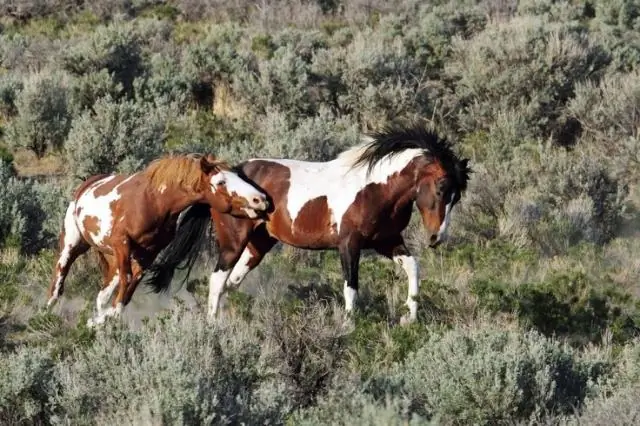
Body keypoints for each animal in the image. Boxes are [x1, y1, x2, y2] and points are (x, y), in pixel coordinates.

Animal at [45, 153, 270, 326]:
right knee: (58, 283)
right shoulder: (122, 244)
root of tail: (85, 186)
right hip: (72, 245)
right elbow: (128, 281)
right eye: (221, 182)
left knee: (103, 294)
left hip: (112, 259)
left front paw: (105, 318)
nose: (260, 199)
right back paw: (46, 314)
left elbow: (130, 287)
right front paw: (102, 320)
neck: (153, 202)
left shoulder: (147, 254)